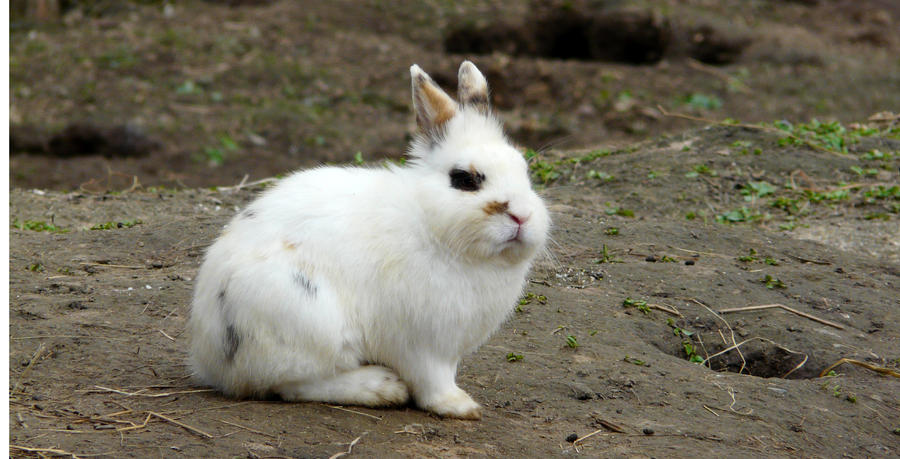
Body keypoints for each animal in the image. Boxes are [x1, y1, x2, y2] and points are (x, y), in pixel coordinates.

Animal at [188, 61, 550, 420]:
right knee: (292, 384)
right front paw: (460, 406)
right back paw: (381, 387)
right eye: (465, 180)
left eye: (524, 171)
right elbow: (433, 380)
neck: (432, 227)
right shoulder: (422, 345)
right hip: (310, 326)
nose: (522, 217)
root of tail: (210, 357)